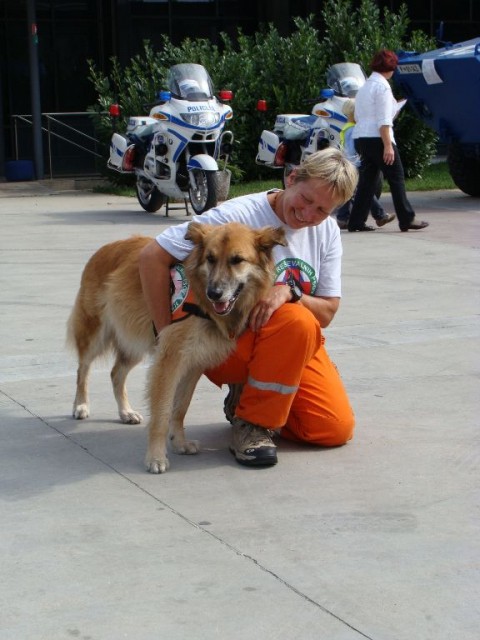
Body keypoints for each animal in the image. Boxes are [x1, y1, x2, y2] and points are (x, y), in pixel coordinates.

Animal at [67, 222, 284, 472]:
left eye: (237, 260)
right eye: (210, 258)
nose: (214, 293)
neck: (202, 303)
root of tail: (105, 249)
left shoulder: (194, 364)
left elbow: (180, 407)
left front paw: (179, 443)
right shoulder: (169, 361)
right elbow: (162, 413)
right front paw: (156, 457)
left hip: (136, 344)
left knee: (116, 373)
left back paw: (125, 412)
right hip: (95, 333)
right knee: (83, 369)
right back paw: (81, 405)